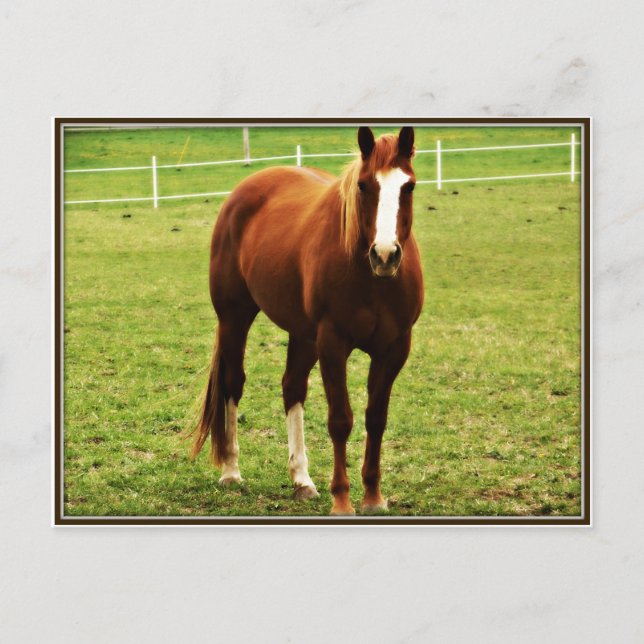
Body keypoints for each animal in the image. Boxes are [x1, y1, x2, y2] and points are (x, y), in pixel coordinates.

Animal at [192, 126, 424, 515]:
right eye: (363, 185)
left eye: (409, 186)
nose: (385, 255)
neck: (371, 279)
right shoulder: (332, 343)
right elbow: (340, 420)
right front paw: (342, 501)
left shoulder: (393, 349)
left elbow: (375, 419)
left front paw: (373, 497)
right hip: (234, 317)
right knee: (232, 383)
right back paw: (231, 471)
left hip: (303, 334)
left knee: (292, 387)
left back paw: (302, 479)